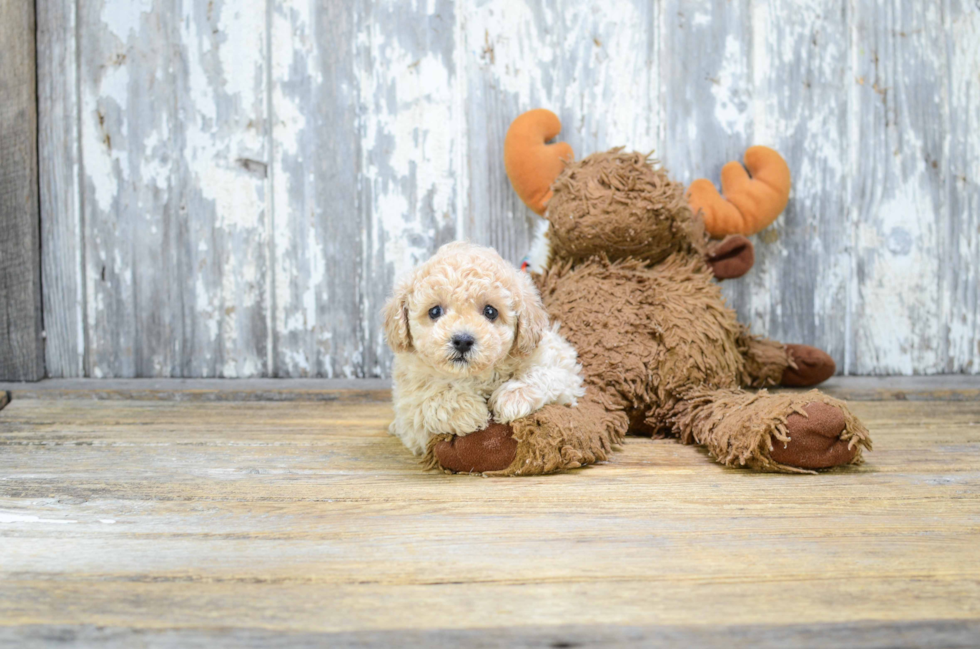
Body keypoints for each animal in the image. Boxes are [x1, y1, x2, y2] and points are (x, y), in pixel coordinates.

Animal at [380, 240, 580, 454]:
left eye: (490, 311)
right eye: (434, 311)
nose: (462, 341)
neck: (473, 376)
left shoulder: (562, 365)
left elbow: (544, 373)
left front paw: (512, 398)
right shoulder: (409, 409)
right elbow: (427, 400)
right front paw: (467, 410)